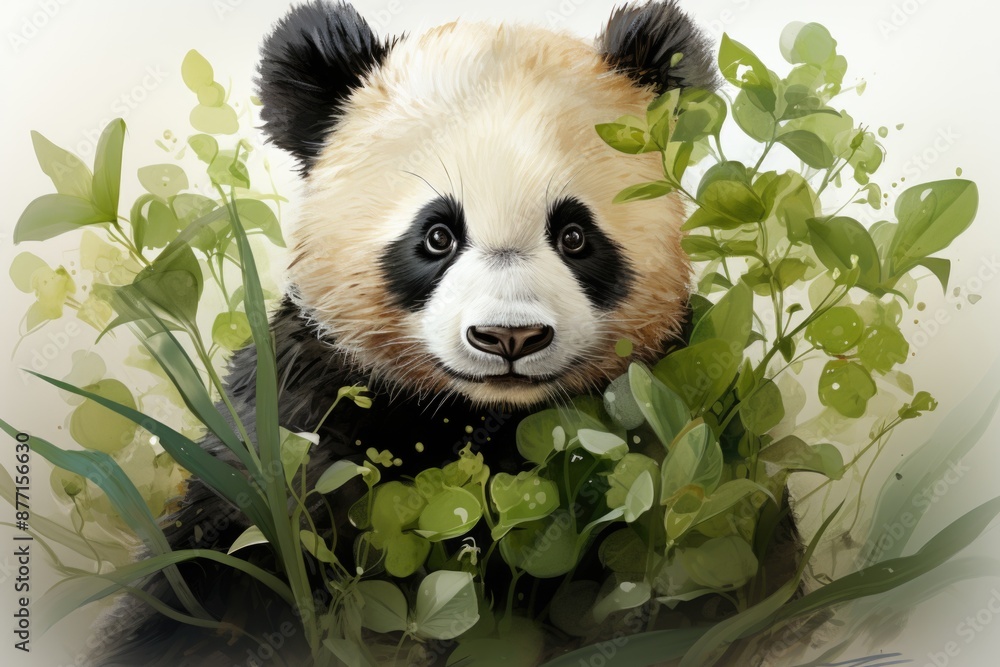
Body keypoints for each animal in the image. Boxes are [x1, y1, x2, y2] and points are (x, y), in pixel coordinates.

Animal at [90, 1, 718, 665]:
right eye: (437, 235)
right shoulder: (304, 404)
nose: (509, 337)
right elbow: (227, 547)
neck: (474, 416)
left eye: (575, 236)